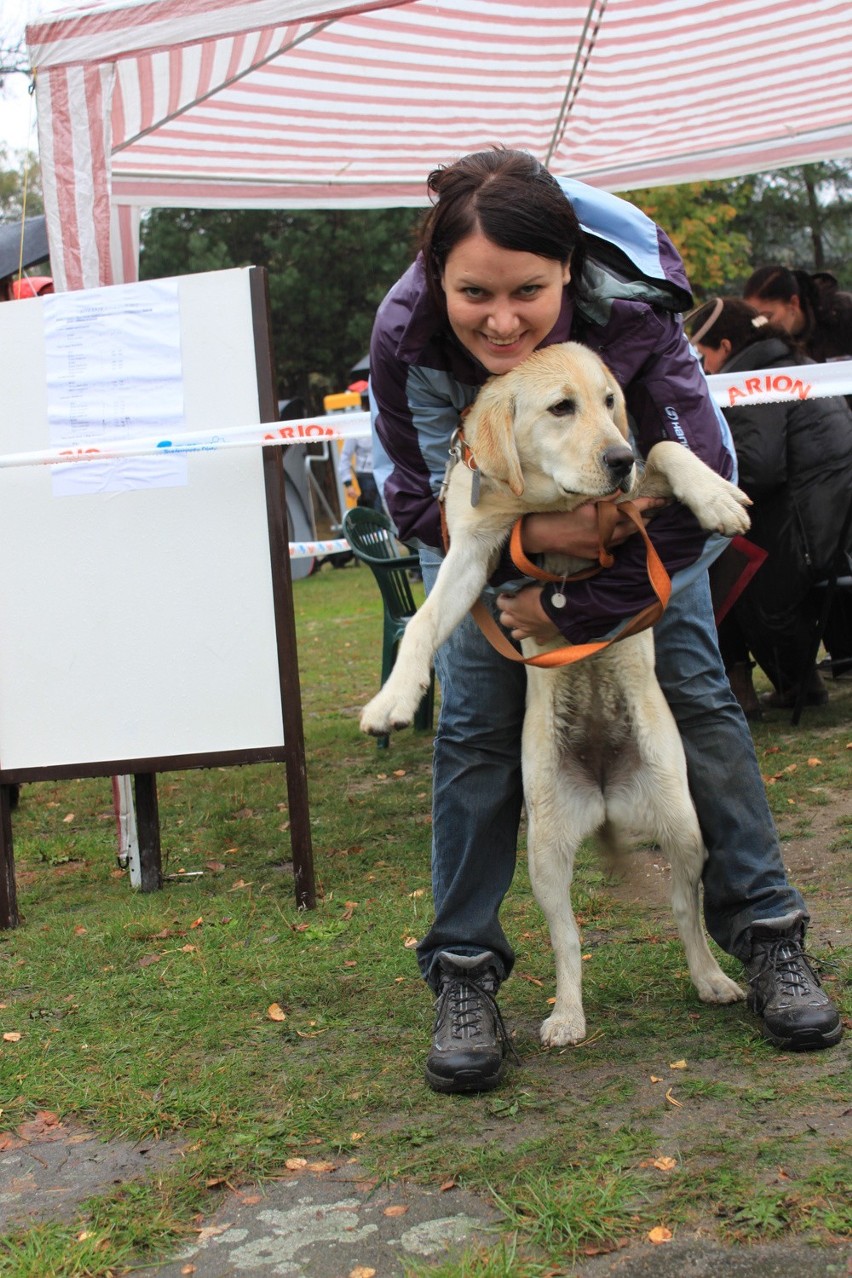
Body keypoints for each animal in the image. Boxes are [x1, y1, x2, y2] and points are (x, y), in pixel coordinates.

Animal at [362, 342, 751, 1047]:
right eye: (560, 407)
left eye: (610, 401)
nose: (616, 459)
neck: (550, 504)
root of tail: (603, 798)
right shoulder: (473, 551)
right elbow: (425, 622)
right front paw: (392, 701)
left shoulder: (631, 504)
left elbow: (666, 448)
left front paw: (716, 496)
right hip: (543, 854)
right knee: (569, 942)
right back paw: (568, 1015)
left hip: (684, 825)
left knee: (686, 911)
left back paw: (711, 979)